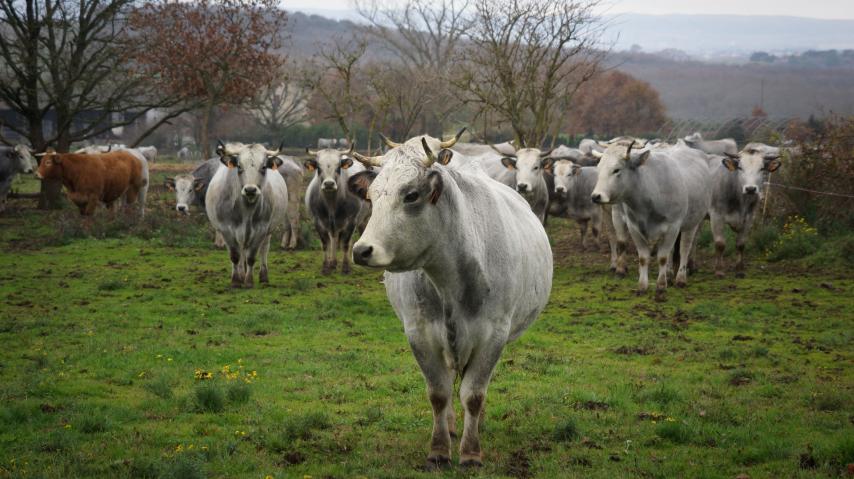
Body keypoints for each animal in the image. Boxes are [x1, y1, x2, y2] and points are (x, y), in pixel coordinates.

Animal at [205, 142, 288, 288]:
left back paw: (263, 276)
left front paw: (249, 281)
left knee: (263, 249)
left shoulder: (261, 229)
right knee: (241, 251)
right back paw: (241, 273)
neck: (246, 210)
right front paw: (236, 280)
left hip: (268, 231)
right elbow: (235, 256)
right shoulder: (226, 230)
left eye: (263, 167)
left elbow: (251, 257)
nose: (250, 190)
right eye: (239, 166)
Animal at [304, 143, 369, 274]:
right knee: (333, 239)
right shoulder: (318, 221)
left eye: (338, 166)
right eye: (318, 167)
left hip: (363, 219)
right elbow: (325, 244)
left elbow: (345, 244)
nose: (329, 184)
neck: (331, 204)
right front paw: (326, 267)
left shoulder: (351, 221)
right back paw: (332, 263)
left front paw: (345, 267)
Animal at [347, 130, 552, 469]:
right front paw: (439, 449)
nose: (362, 250)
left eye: (411, 195)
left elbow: (474, 394)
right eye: (372, 196)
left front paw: (471, 452)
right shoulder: (419, 333)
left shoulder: (494, 335)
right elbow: (439, 393)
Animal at [591, 140, 711, 300]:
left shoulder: (673, 227)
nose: (596, 196)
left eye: (616, 170)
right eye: (598, 169)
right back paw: (669, 274)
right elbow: (642, 256)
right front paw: (642, 286)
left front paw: (661, 286)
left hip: (693, 222)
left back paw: (681, 278)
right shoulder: (633, 226)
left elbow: (662, 257)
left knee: (685, 248)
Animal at [709, 143, 782, 278]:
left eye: (762, 168)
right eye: (740, 168)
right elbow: (720, 243)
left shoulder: (749, 218)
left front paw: (739, 269)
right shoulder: (716, 215)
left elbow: (741, 244)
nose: (750, 189)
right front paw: (719, 270)